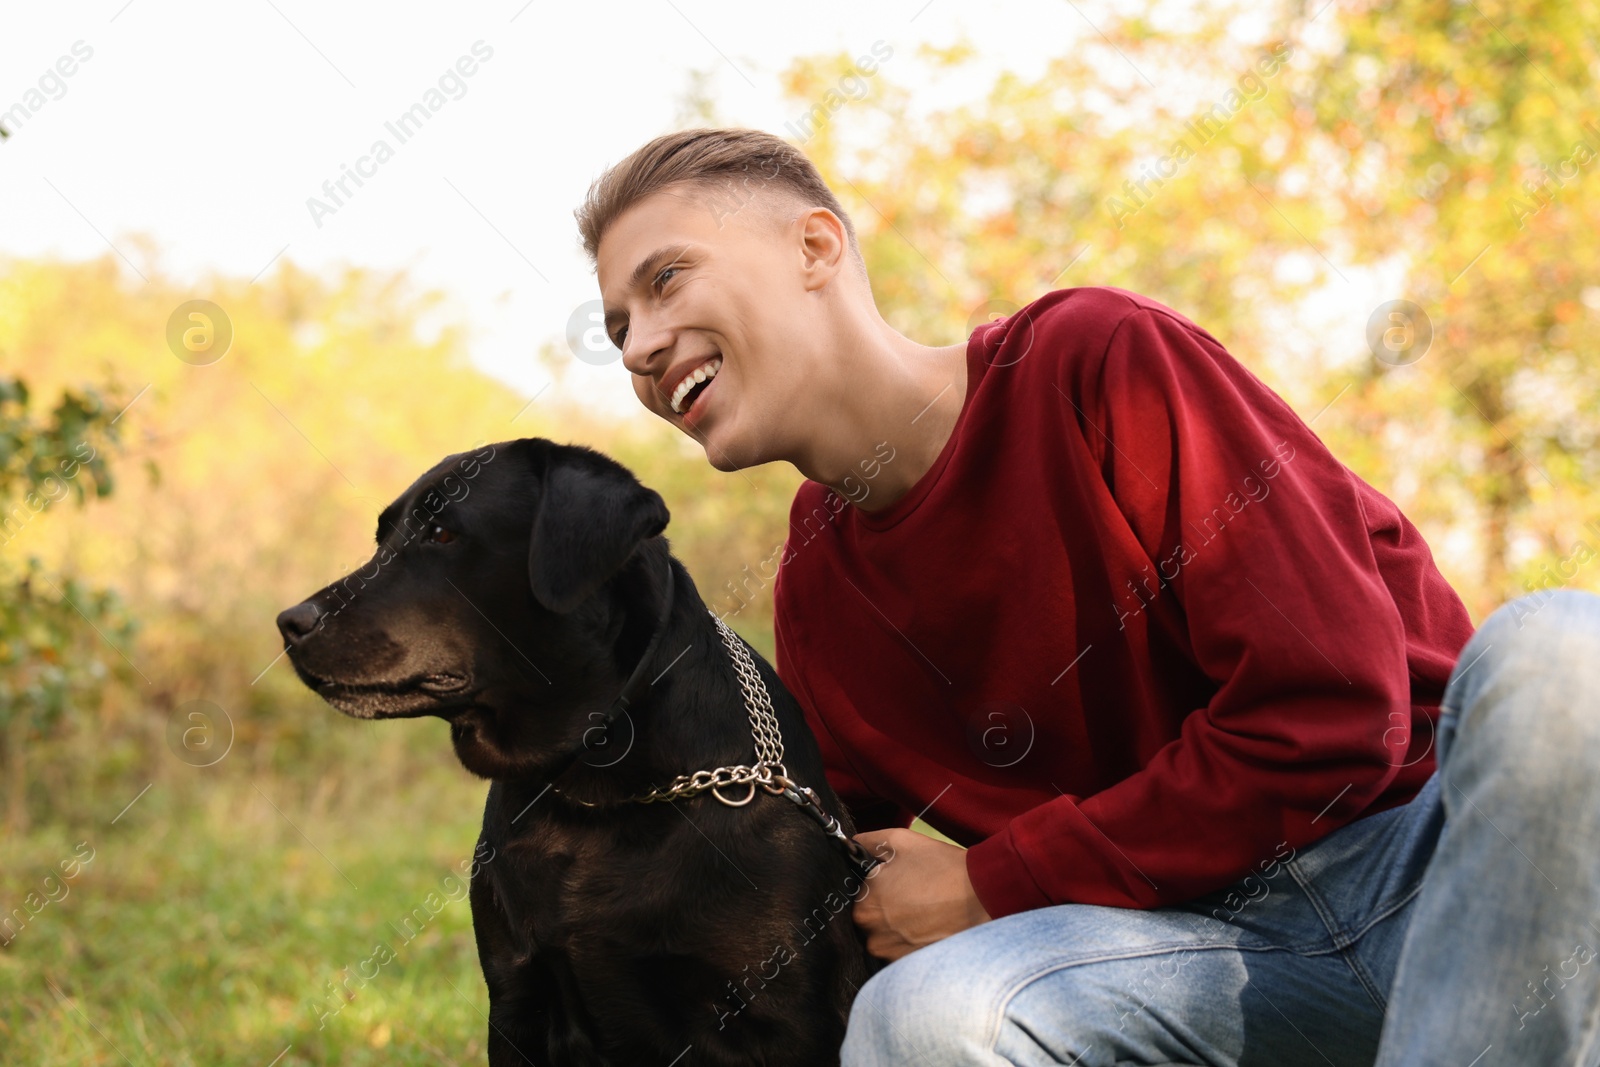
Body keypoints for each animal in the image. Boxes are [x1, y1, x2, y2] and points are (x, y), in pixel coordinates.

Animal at [275, 438, 876, 1062]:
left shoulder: (788, 1021)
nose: (289, 623)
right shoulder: (517, 1000)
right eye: (382, 538)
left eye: (440, 533)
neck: (595, 792)